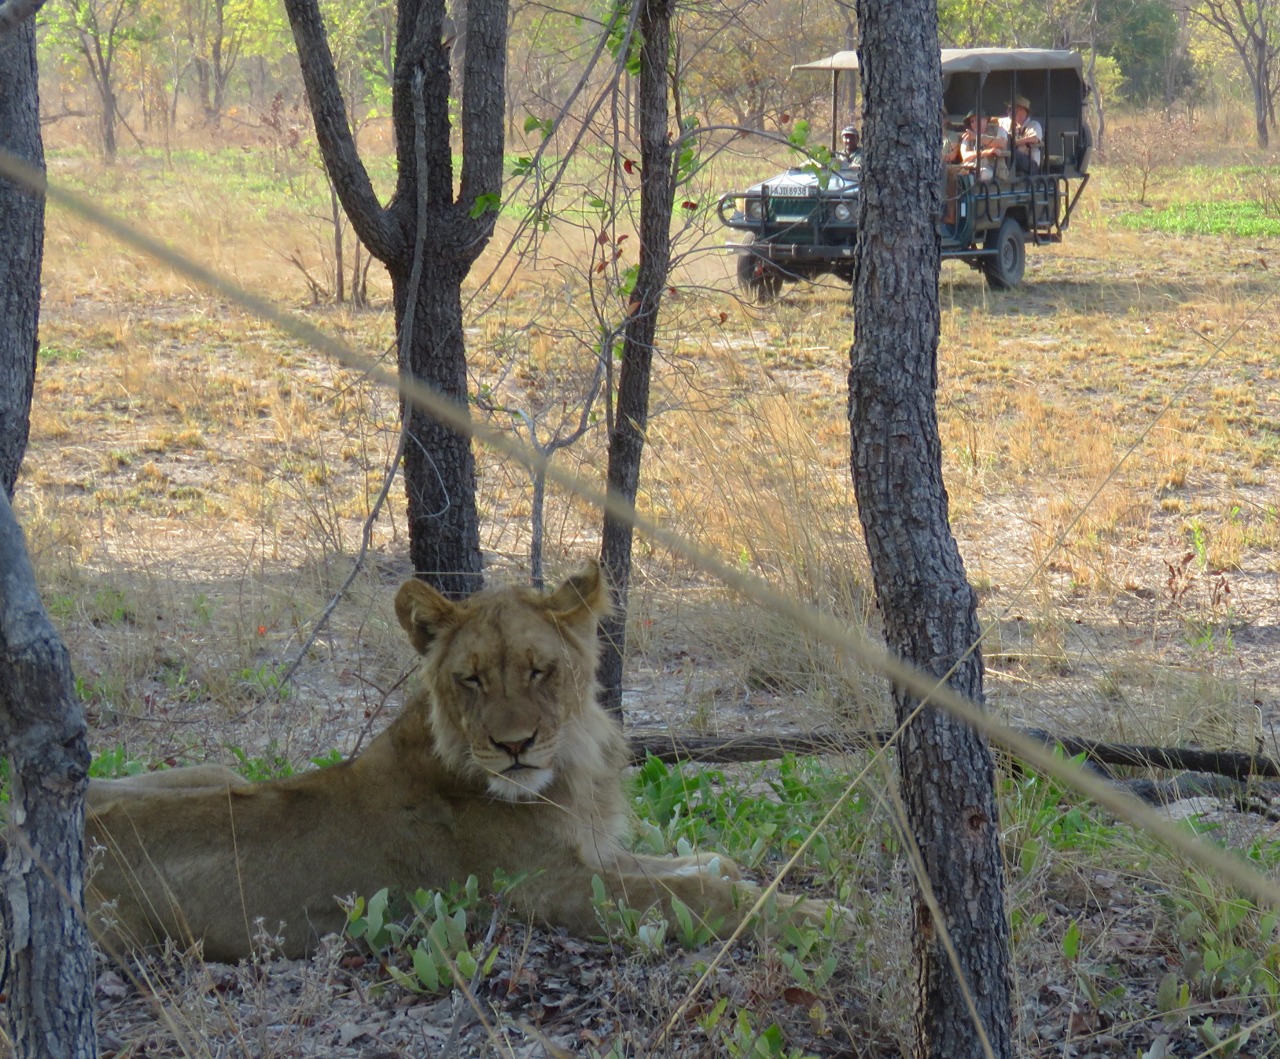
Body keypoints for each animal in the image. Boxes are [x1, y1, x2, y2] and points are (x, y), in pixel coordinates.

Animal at [86, 562, 836, 961]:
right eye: (470, 679)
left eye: (539, 670)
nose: (514, 746)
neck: (570, 770)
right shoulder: (550, 891)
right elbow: (697, 895)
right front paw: (821, 918)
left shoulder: (590, 853)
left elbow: (708, 864)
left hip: (218, 774)